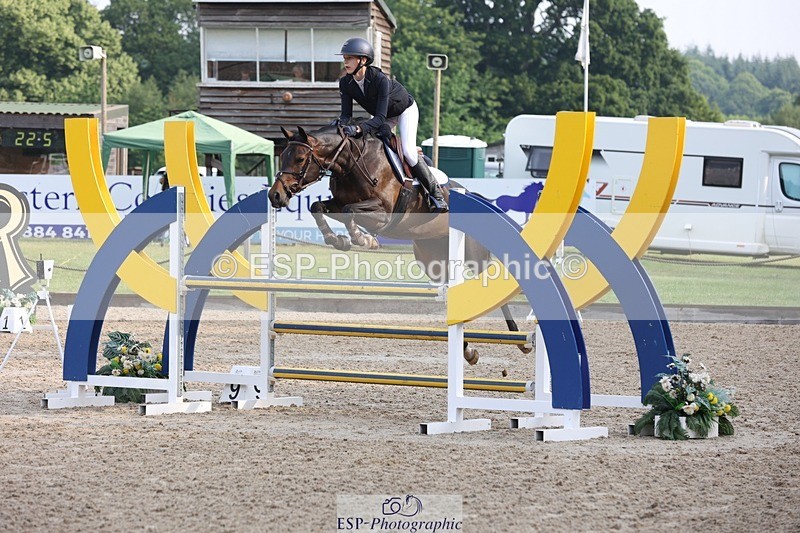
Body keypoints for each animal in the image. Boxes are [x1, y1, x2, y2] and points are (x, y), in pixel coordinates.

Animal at [267, 125, 532, 364]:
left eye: (300, 158)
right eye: (283, 156)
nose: (275, 195)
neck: (353, 163)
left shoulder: (383, 213)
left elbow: (350, 209)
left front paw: (364, 239)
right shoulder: (338, 204)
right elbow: (318, 206)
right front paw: (337, 239)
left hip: (474, 257)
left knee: (495, 293)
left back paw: (520, 341)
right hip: (434, 262)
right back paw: (468, 351)